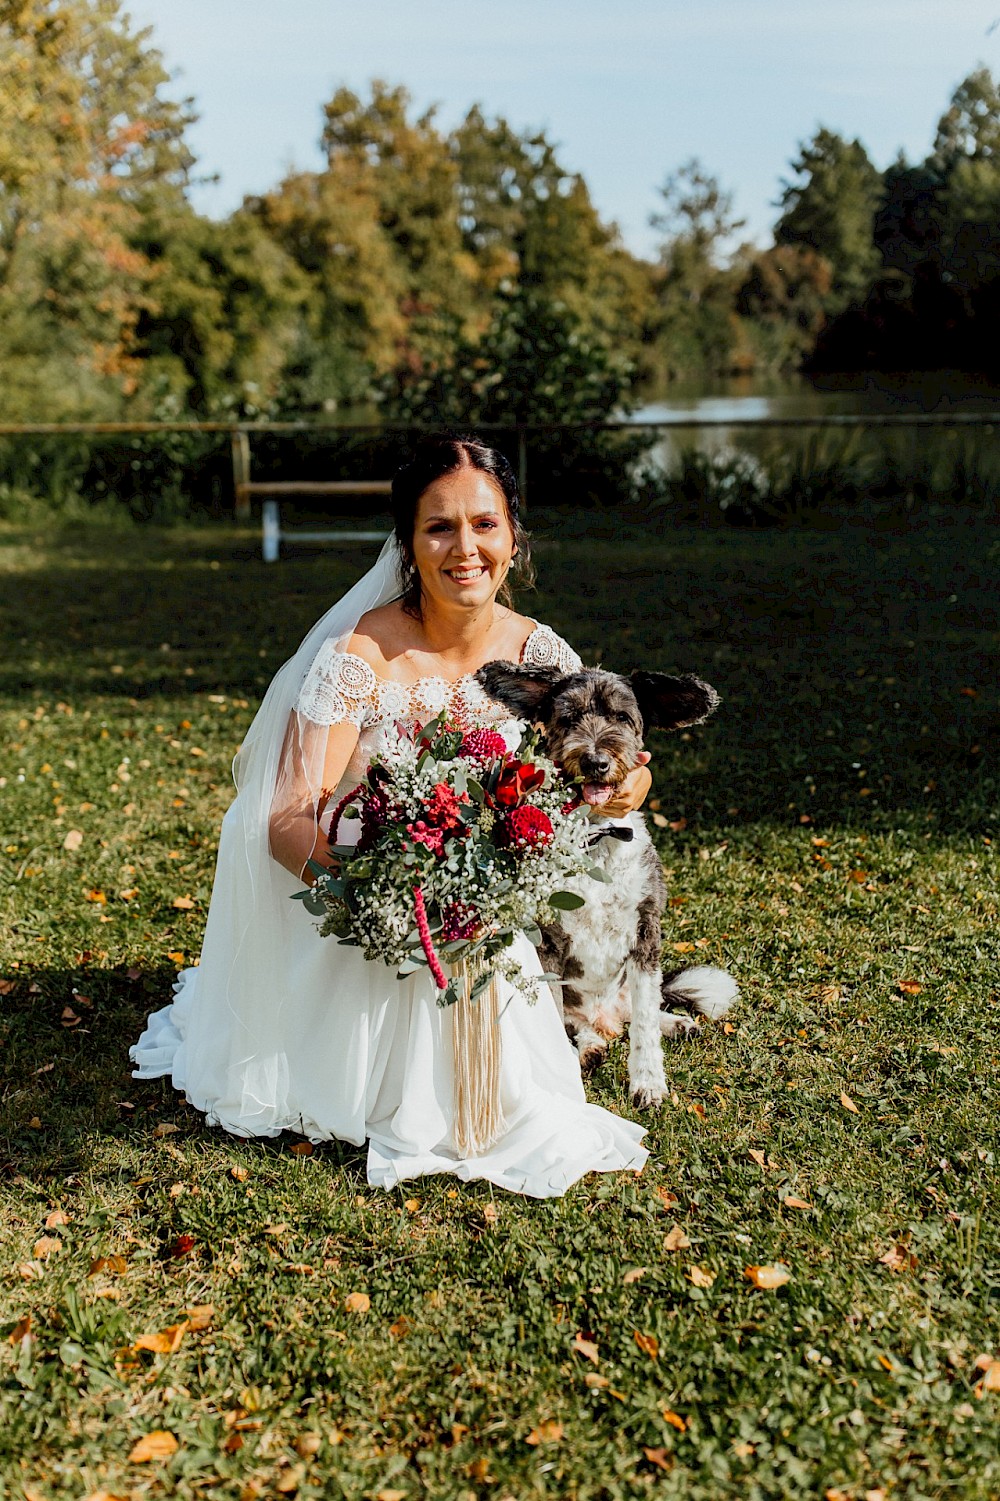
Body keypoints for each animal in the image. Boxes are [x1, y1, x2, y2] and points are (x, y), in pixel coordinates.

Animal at [471, 663, 735, 1110]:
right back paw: (590, 1048)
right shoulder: (549, 944)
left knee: (638, 1011)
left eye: (622, 717)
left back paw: (674, 1024)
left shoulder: (646, 935)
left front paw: (648, 1082)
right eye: (569, 718)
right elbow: (554, 1012)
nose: (594, 760)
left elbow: (644, 1023)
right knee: (579, 1028)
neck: (596, 837)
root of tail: (603, 1016)